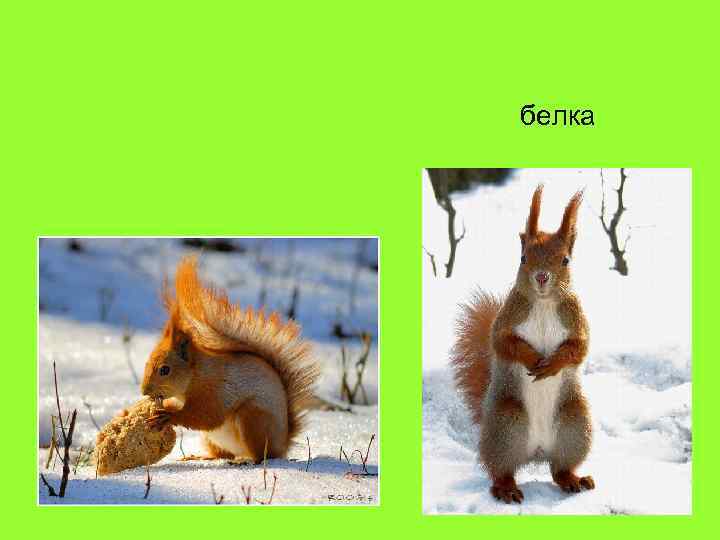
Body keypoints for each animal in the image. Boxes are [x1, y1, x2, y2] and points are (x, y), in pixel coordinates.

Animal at [141, 256, 320, 463]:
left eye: (165, 370)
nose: (144, 391)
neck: (196, 374)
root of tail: (283, 444)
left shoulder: (214, 391)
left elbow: (205, 416)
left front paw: (168, 416)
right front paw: (166, 407)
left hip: (252, 419)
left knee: (262, 455)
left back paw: (246, 461)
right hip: (212, 439)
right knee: (222, 454)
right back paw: (201, 457)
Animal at [451, 185, 594, 504]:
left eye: (565, 260)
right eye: (523, 258)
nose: (542, 277)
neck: (542, 303)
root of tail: (537, 452)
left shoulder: (576, 319)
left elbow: (578, 349)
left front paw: (552, 364)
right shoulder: (508, 318)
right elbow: (503, 343)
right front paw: (532, 359)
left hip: (575, 424)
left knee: (559, 469)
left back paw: (574, 480)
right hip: (507, 424)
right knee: (500, 469)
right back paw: (506, 488)